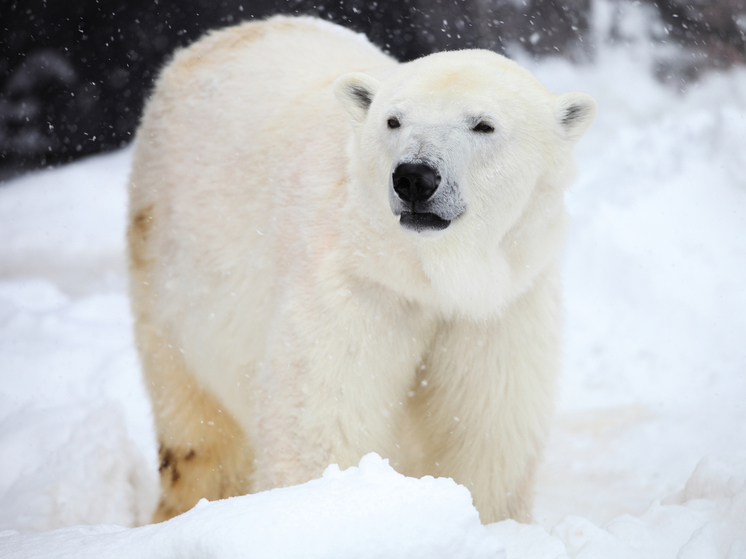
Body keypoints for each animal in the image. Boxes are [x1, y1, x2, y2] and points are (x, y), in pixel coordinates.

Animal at [126, 15, 592, 528]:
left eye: (483, 124)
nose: (415, 177)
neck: (427, 275)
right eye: (394, 120)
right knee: (196, 425)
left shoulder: (498, 308)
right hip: (168, 253)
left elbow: (487, 430)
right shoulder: (356, 288)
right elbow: (324, 421)